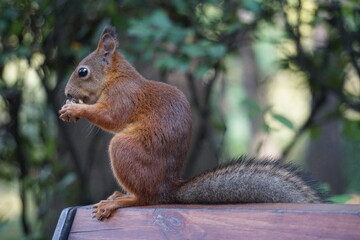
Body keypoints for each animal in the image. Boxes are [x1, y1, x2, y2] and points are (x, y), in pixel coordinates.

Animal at [59, 26, 324, 221]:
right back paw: (118, 195)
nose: (67, 92)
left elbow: (111, 117)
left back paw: (118, 202)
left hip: (124, 150)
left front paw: (74, 109)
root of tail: (168, 189)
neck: (117, 77)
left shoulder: (123, 95)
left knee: (145, 199)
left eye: (82, 71)